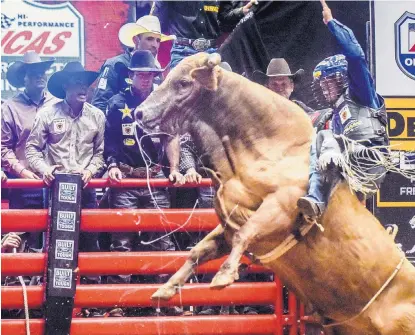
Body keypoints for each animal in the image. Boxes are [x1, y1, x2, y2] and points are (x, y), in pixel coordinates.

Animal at [136, 53, 415, 335]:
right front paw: (166, 289)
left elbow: (246, 233)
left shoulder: (280, 208)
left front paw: (223, 276)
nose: (139, 112)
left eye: (183, 83)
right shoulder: (228, 224)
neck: (267, 149)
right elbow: (200, 250)